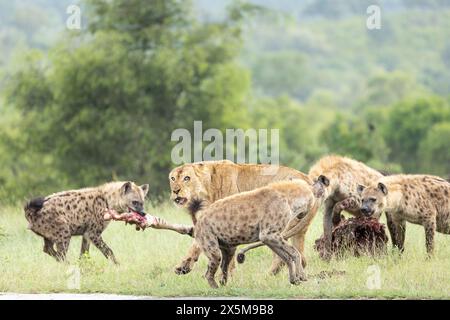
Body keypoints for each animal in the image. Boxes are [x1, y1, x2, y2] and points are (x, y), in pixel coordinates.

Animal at [169, 160, 316, 276]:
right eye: (173, 178)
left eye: (187, 178)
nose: (175, 191)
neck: (208, 187)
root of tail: (308, 181)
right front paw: (183, 267)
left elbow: (198, 245)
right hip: (297, 228)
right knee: (301, 256)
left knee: (283, 256)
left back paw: (268, 276)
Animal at [192, 179, 326, 288]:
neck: (290, 200)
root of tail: (199, 220)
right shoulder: (268, 234)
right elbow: (294, 252)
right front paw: (302, 276)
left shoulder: (270, 238)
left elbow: (286, 256)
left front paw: (294, 279)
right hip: (210, 244)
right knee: (210, 270)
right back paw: (216, 288)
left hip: (228, 248)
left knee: (224, 265)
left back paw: (223, 284)